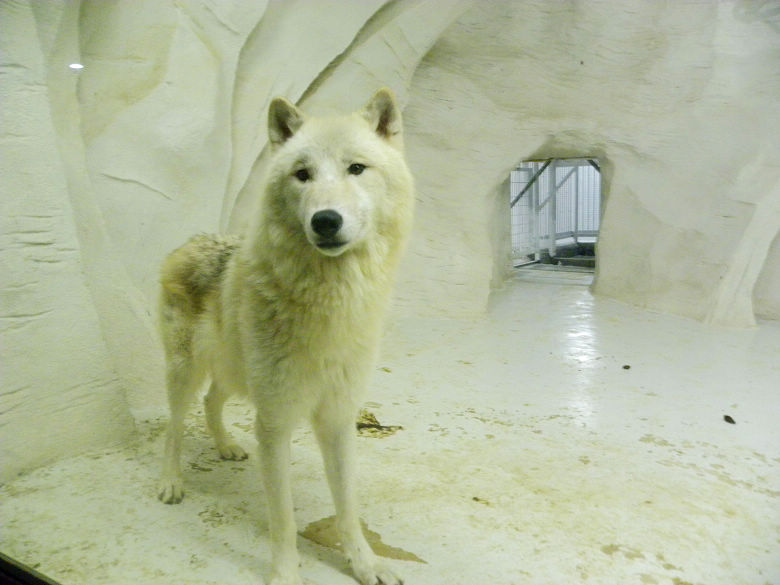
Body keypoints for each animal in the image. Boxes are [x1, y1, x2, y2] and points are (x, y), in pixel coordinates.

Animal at [157, 88, 414, 584]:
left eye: (356, 169)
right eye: (302, 175)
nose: (326, 221)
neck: (331, 303)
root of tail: (190, 240)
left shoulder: (337, 418)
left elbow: (348, 509)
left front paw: (365, 563)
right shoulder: (274, 424)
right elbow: (284, 520)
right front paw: (285, 573)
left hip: (233, 373)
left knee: (211, 402)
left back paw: (226, 447)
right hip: (185, 373)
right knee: (175, 426)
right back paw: (171, 481)